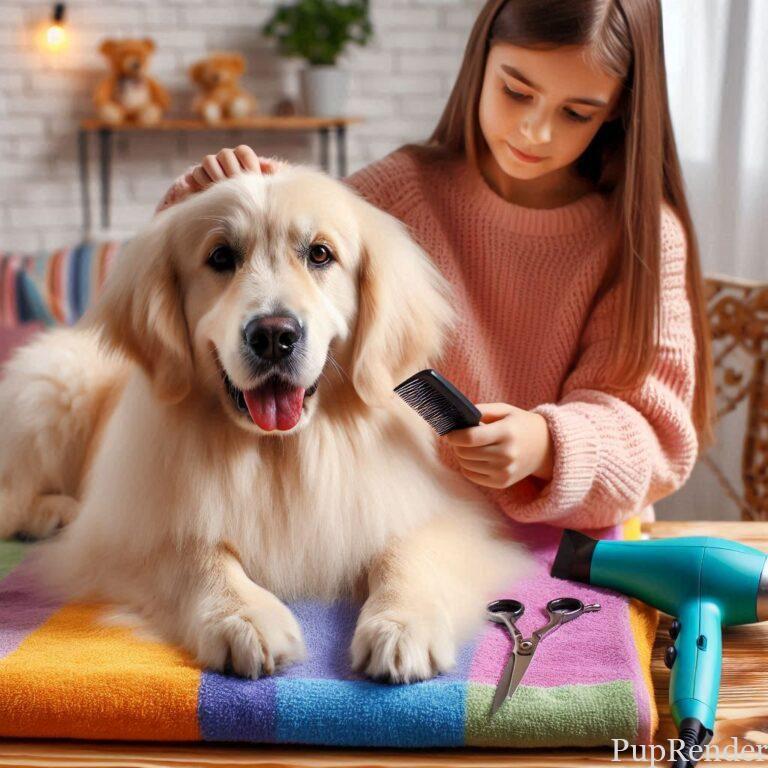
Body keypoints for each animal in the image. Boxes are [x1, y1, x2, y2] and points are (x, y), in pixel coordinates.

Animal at [0, 166, 528, 680]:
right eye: (220, 257)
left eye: (320, 254)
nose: (274, 335)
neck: (281, 451)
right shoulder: (126, 533)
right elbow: (196, 553)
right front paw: (244, 617)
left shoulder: (436, 510)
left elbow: (407, 551)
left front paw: (402, 624)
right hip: (54, 387)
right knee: (13, 496)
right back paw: (54, 513)